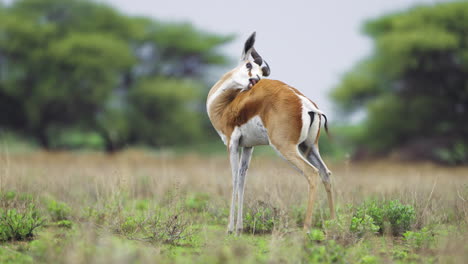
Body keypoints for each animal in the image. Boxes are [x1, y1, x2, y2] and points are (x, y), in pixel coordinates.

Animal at [207, 32, 334, 233]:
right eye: (249, 65)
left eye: (260, 71)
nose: (255, 81)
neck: (225, 106)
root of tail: (307, 104)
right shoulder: (248, 146)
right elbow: (242, 180)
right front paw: (240, 227)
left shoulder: (231, 143)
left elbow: (234, 180)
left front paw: (230, 228)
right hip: (309, 147)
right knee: (325, 173)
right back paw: (334, 223)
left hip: (285, 147)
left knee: (312, 173)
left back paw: (306, 228)